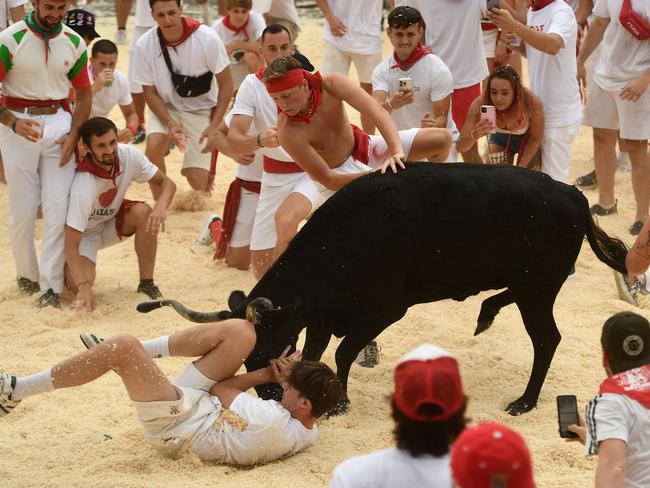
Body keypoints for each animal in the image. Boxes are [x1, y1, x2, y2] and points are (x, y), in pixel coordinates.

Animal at [138, 164, 628, 416]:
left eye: (267, 348)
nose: (270, 397)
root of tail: (571, 193)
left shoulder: (386, 309)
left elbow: (341, 352)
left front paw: (340, 402)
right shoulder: (321, 315)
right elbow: (317, 351)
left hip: (538, 288)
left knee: (546, 339)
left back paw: (524, 401)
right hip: (532, 286)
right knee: (509, 304)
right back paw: (485, 313)